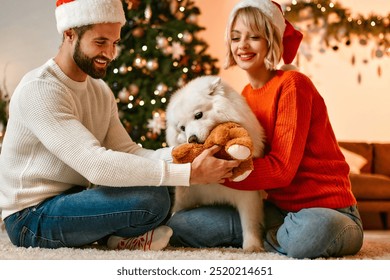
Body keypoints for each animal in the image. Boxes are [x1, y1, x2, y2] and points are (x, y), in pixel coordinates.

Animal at [166, 75, 266, 252]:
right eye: (182, 128)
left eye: (198, 115)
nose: (191, 139)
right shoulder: (186, 195)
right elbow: (176, 211)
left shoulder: (248, 196)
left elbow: (250, 223)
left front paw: (252, 247)